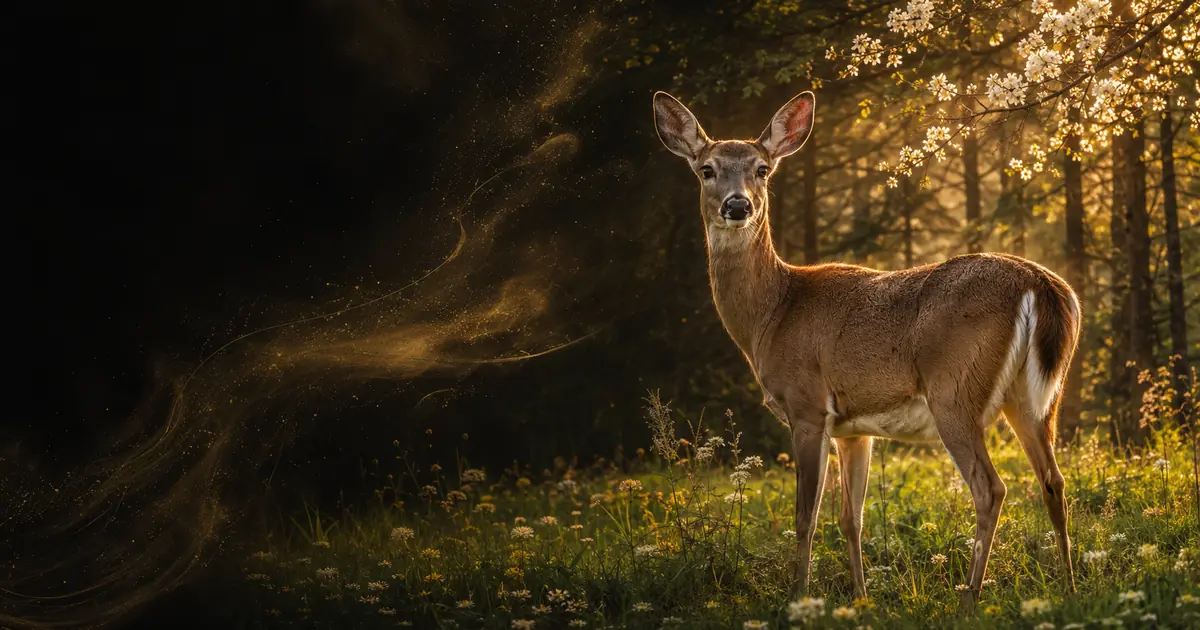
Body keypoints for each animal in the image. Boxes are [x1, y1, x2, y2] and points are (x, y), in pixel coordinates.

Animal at [652, 90, 1081, 609]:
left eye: (762, 168)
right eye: (706, 169)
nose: (738, 205)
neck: (771, 315)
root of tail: (1039, 283)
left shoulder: (807, 406)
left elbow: (806, 517)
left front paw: (799, 597)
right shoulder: (853, 431)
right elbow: (850, 519)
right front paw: (860, 596)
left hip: (955, 391)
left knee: (990, 489)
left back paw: (969, 597)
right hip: (1036, 398)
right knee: (1053, 481)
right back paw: (1070, 585)